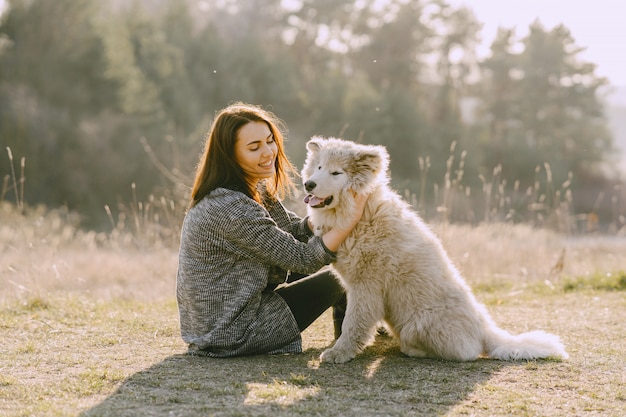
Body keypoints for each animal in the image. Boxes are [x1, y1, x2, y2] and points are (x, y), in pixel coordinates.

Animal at [300, 136, 568, 360]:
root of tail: (486, 329)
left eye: (336, 172)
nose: (308, 184)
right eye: (319, 167)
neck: (361, 215)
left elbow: (353, 323)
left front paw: (340, 353)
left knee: (466, 352)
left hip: (418, 325)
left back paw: (413, 350)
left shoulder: (366, 286)